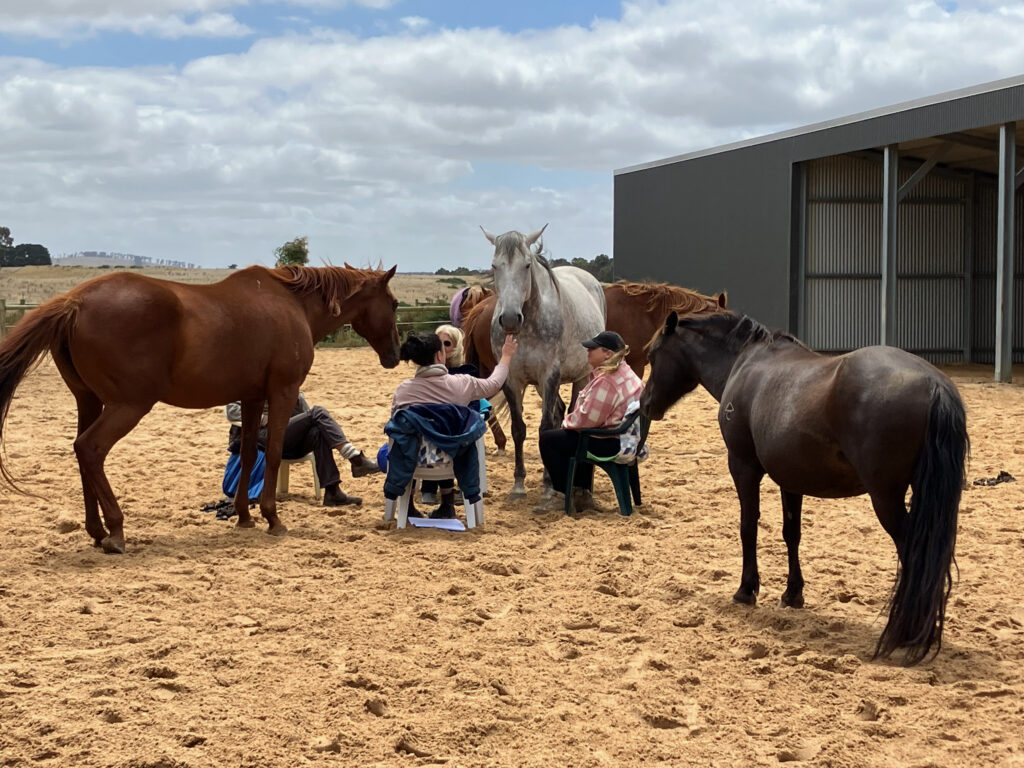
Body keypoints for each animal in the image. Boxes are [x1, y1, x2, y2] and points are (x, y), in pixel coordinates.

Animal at [0, 264, 401, 554]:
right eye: (395, 304)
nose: (396, 355)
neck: (292, 304)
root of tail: (76, 301)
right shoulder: (282, 392)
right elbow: (271, 453)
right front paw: (272, 518)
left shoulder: (252, 398)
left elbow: (248, 452)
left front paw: (244, 516)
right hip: (127, 405)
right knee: (90, 449)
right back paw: (115, 531)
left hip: (88, 401)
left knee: (82, 454)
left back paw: (96, 530)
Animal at [482, 225, 606, 499]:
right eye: (494, 266)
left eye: (527, 265)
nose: (509, 319)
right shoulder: (512, 379)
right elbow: (519, 429)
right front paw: (519, 485)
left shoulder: (549, 374)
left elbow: (545, 427)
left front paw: (548, 486)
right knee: (559, 412)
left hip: (581, 377)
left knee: (570, 416)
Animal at [642, 310, 968, 665]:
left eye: (653, 355)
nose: (644, 404)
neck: (745, 362)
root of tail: (934, 384)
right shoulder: (791, 478)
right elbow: (791, 533)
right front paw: (792, 593)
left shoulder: (742, 466)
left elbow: (748, 526)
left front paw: (746, 589)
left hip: (887, 499)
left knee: (914, 553)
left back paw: (907, 631)